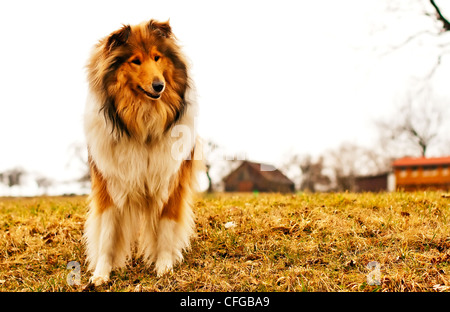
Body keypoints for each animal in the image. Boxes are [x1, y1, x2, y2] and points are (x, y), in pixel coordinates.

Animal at [83, 19, 200, 286]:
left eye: (157, 57)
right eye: (135, 61)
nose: (159, 86)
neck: (143, 122)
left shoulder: (170, 181)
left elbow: (166, 228)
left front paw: (164, 267)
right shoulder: (110, 184)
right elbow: (107, 234)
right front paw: (101, 275)